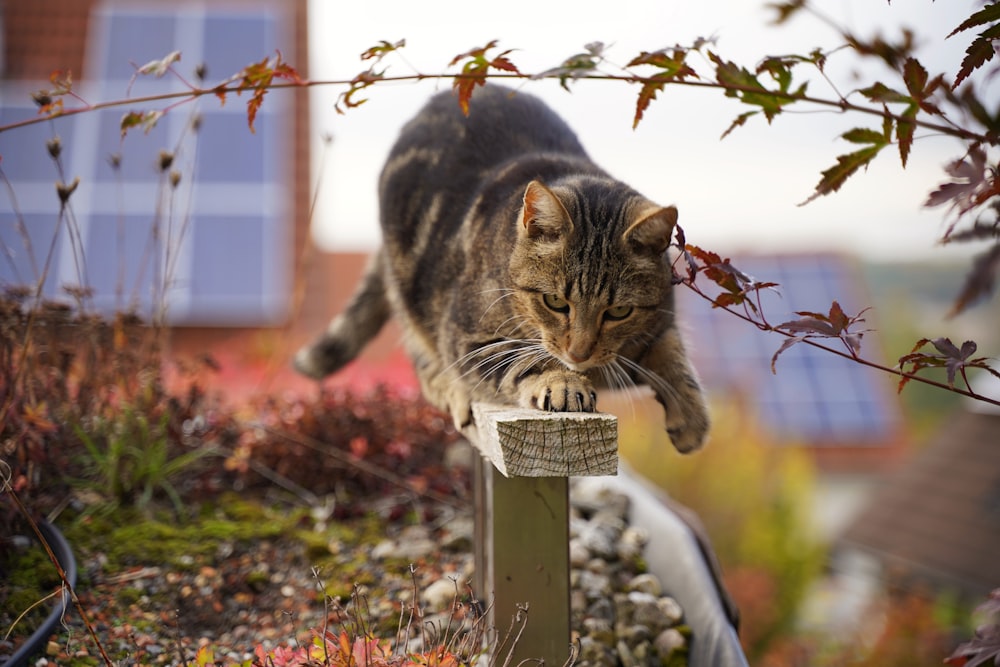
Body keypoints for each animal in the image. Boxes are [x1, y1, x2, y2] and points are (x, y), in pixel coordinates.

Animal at [292, 82, 708, 448]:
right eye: (555, 302)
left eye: (619, 311)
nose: (578, 354)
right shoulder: (467, 337)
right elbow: (521, 361)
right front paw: (563, 382)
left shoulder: (658, 324)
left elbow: (675, 359)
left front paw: (691, 417)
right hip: (409, 286)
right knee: (420, 351)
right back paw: (449, 387)